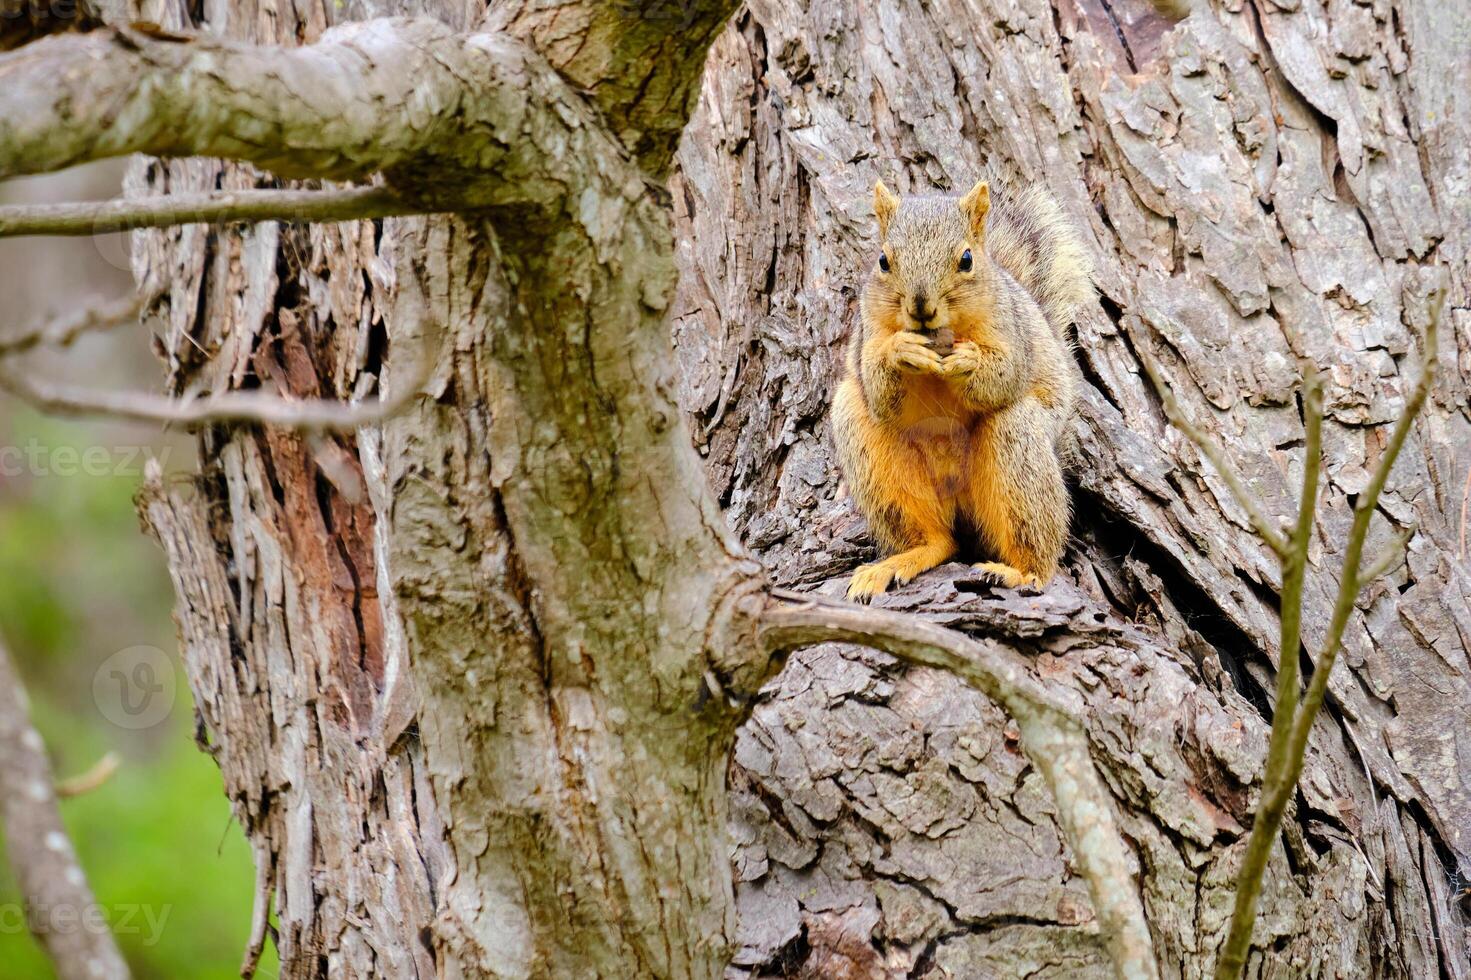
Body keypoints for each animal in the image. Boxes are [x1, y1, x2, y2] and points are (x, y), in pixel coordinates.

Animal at [835, 177, 1088, 603]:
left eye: (967, 259)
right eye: (884, 261)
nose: (921, 306)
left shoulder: (1010, 332)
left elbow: (1005, 375)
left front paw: (968, 361)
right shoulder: (868, 331)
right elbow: (879, 390)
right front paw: (900, 351)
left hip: (1017, 441)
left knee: (1035, 543)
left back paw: (1021, 572)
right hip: (871, 453)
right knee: (939, 541)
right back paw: (899, 561)